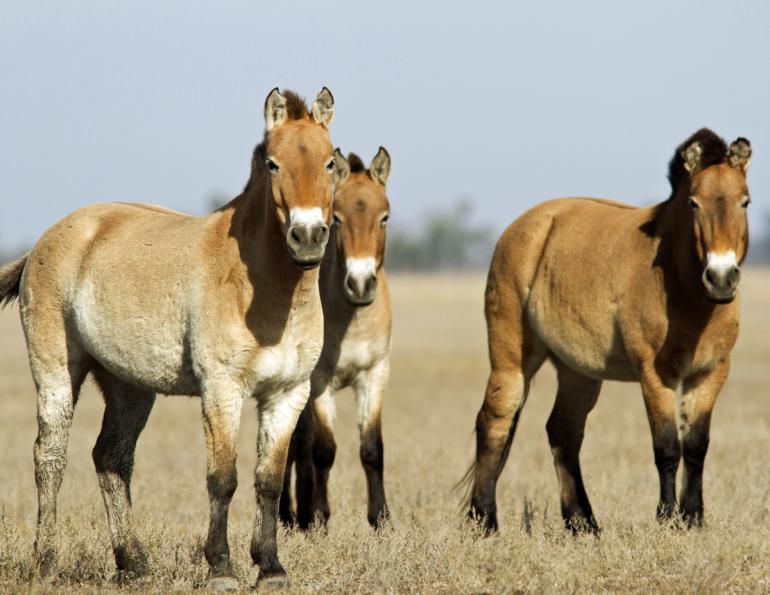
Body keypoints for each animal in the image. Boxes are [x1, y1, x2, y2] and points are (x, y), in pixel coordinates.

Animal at [0, 87, 337, 589]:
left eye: (331, 161)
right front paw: (222, 568)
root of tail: (45, 240)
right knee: (50, 457)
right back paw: (45, 562)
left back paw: (132, 563)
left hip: (129, 386)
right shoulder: (222, 390)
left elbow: (269, 481)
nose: (308, 237)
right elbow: (223, 478)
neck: (265, 289)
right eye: (274, 163)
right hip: (57, 372)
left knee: (111, 458)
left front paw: (271, 568)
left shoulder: (287, 394)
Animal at [279, 148, 393, 530]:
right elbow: (323, 450)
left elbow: (372, 448)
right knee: (295, 444)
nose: (360, 285)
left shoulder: (375, 375)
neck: (351, 321)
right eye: (339, 219)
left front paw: (381, 519)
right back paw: (290, 514)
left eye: (384, 218)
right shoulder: (319, 381)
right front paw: (318, 516)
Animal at [462, 128, 752, 534]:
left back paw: (583, 523)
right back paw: (485, 521)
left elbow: (696, 445)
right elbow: (667, 447)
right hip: (511, 359)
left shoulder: (711, 373)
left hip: (577, 371)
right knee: (494, 421)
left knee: (564, 432)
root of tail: (523, 227)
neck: (683, 290)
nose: (721, 278)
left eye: (745, 202)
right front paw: (667, 517)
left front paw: (694, 518)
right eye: (694, 203)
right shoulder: (655, 375)